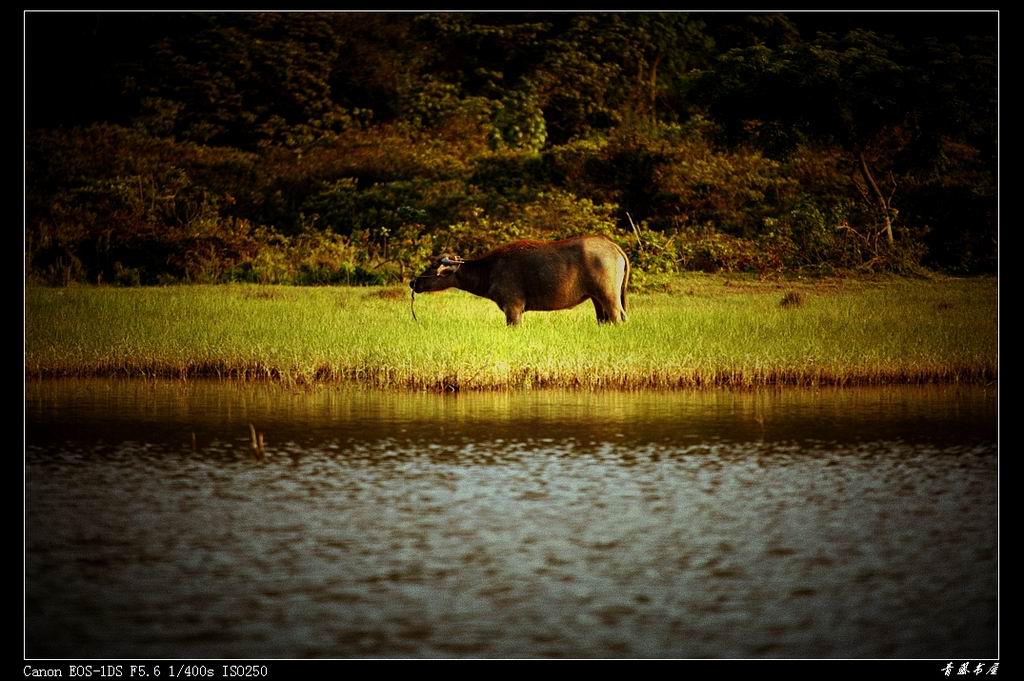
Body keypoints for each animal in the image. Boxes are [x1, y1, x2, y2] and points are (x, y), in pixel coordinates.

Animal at [411, 236, 626, 327]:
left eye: (433, 266)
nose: (413, 283)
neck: (490, 269)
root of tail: (614, 247)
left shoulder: (512, 308)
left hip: (609, 296)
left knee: (618, 317)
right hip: (596, 298)